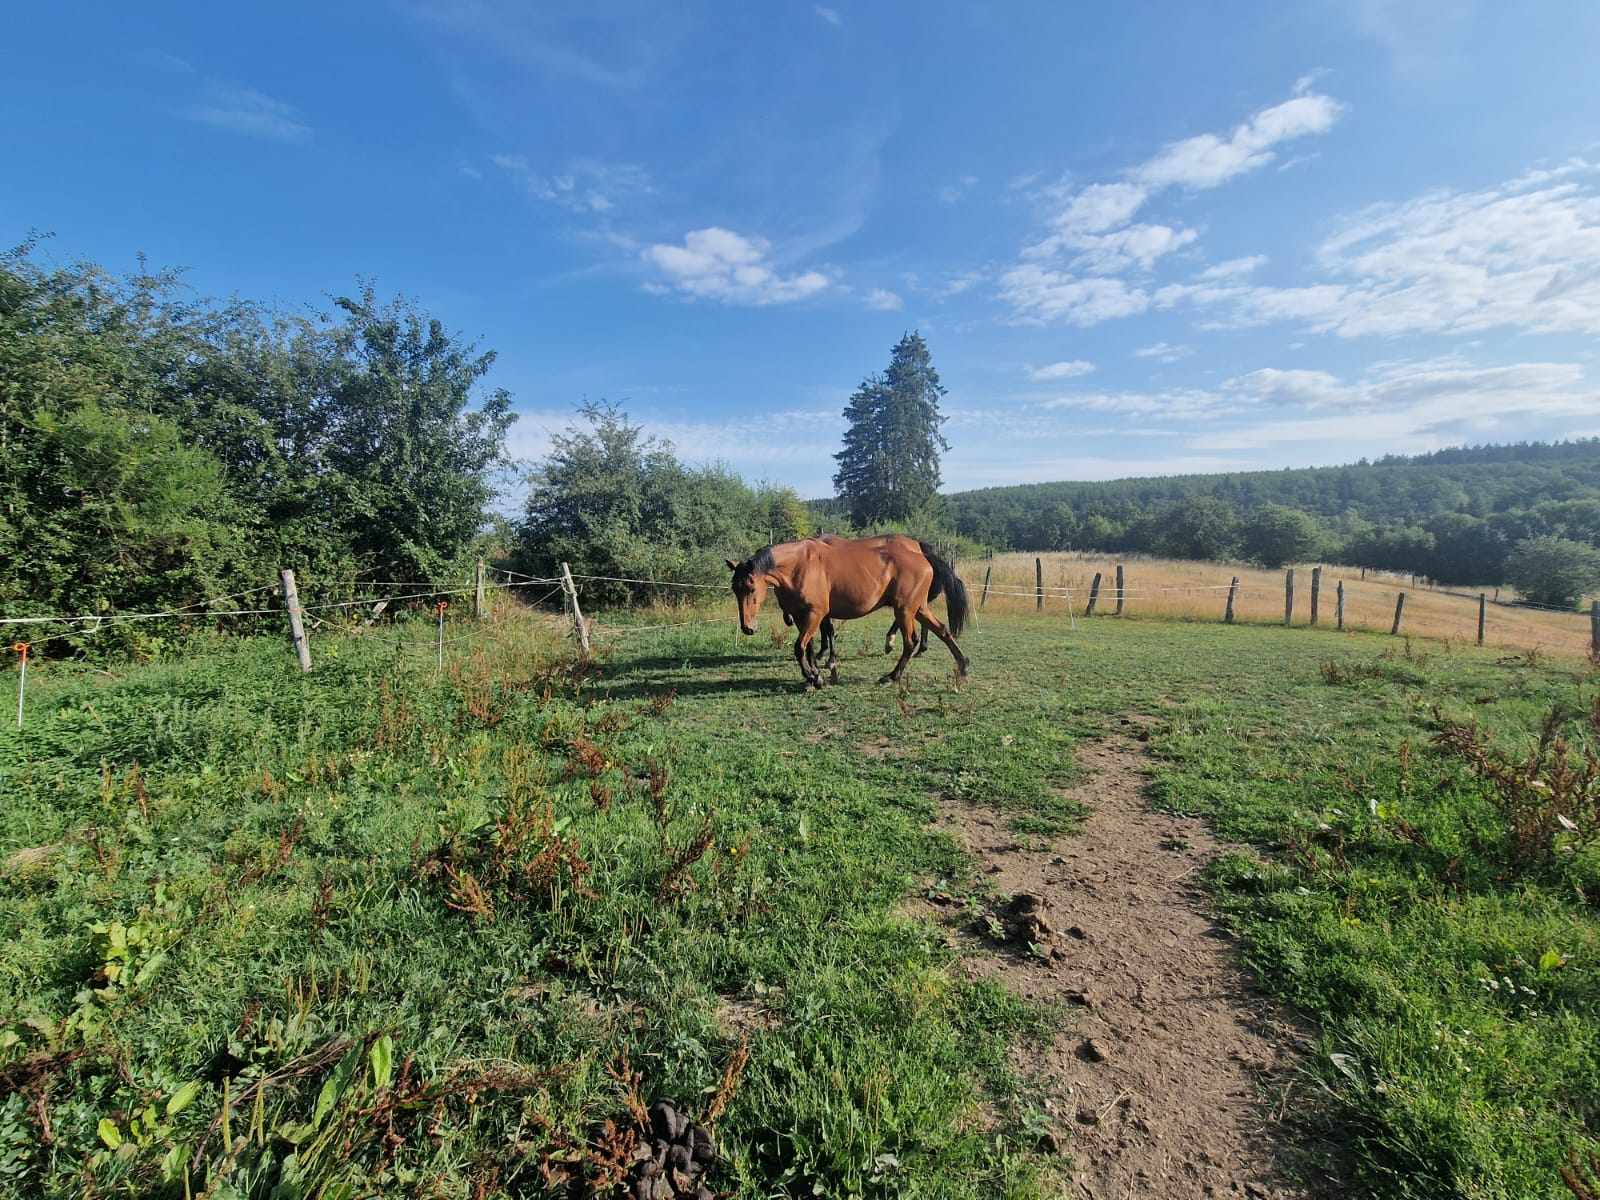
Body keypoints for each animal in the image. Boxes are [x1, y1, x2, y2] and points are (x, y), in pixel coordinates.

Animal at [729, 537, 972, 694]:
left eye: (751, 587)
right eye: (734, 589)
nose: (748, 627)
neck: (800, 565)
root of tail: (923, 557)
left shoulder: (816, 614)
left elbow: (800, 647)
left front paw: (816, 677)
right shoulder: (801, 616)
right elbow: (808, 648)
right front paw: (814, 676)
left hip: (904, 610)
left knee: (910, 642)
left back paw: (891, 676)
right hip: (918, 608)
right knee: (943, 630)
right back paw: (963, 666)